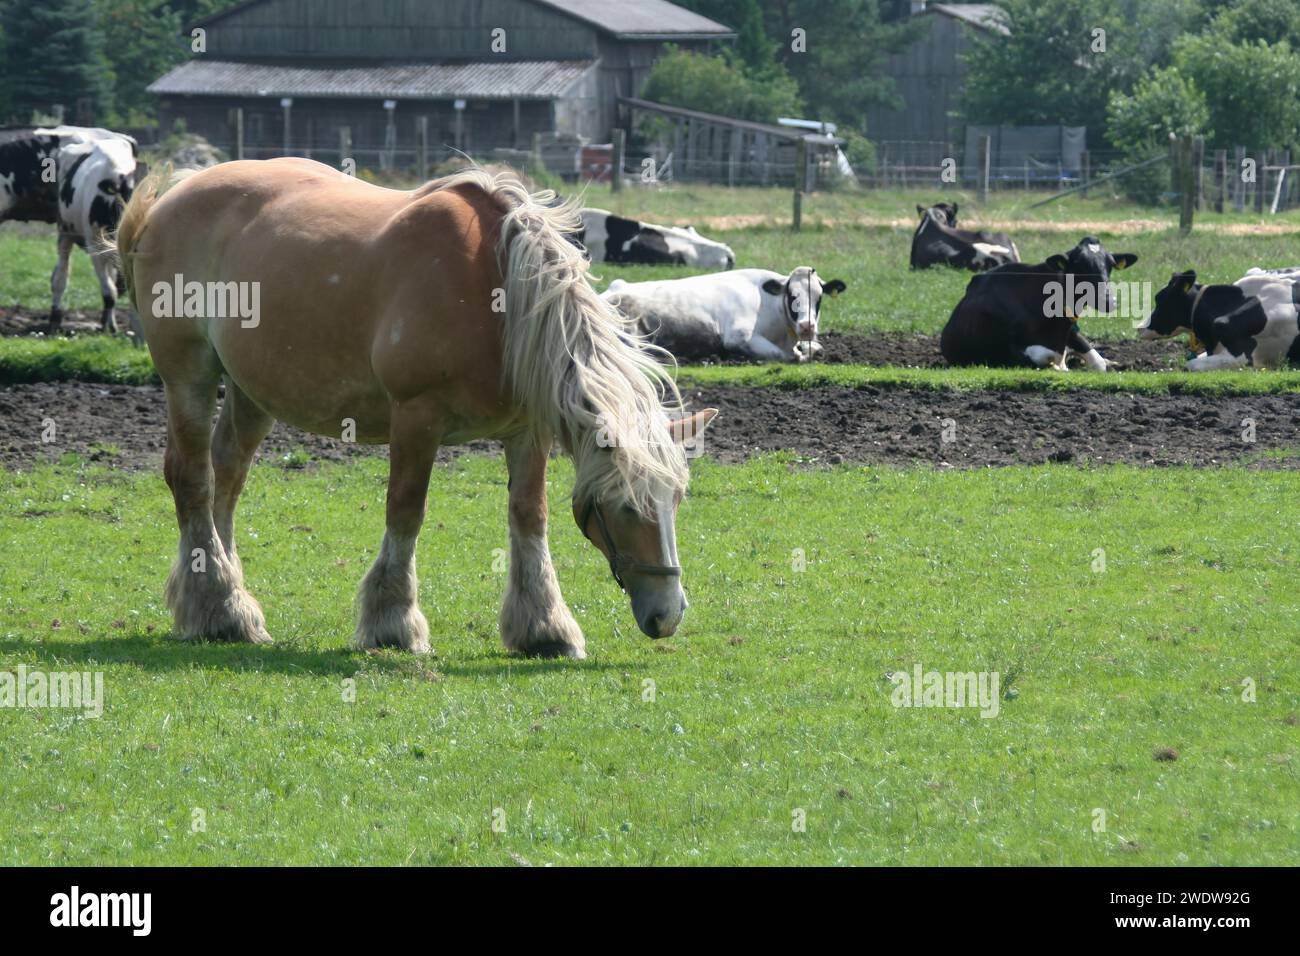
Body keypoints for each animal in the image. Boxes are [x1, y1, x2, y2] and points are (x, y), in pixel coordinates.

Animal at [113, 158, 718, 659]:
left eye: (675, 500)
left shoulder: (527, 432)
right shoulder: (416, 418)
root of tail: (174, 194)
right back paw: (217, 603)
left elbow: (529, 517)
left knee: (227, 479)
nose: (668, 615)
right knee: (192, 479)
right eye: (626, 508)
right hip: (189, 376)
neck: (500, 295)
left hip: (252, 390)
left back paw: (226, 604)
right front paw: (393, 623)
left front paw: (545, 628)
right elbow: (406, 511)